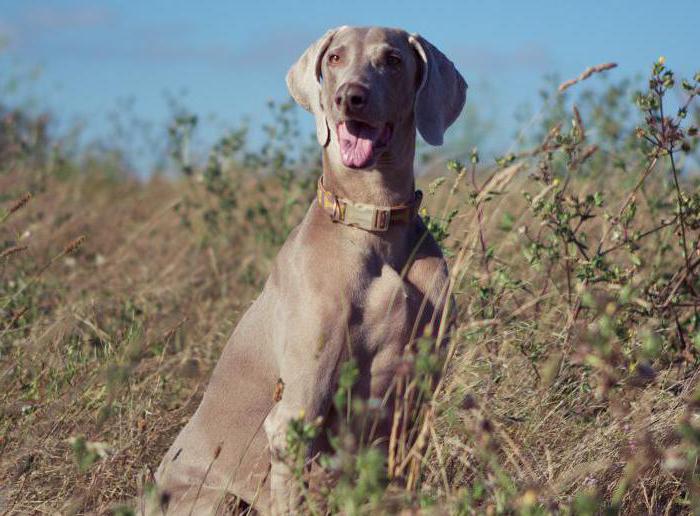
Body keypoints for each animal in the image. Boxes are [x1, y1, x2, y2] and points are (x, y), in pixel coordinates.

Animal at [156, 26, 468, 512]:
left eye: (393, 60)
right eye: (335, 58)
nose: (349, 97)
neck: (372, 220)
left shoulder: (414, 401)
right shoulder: (295, 412)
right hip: (219, 497)